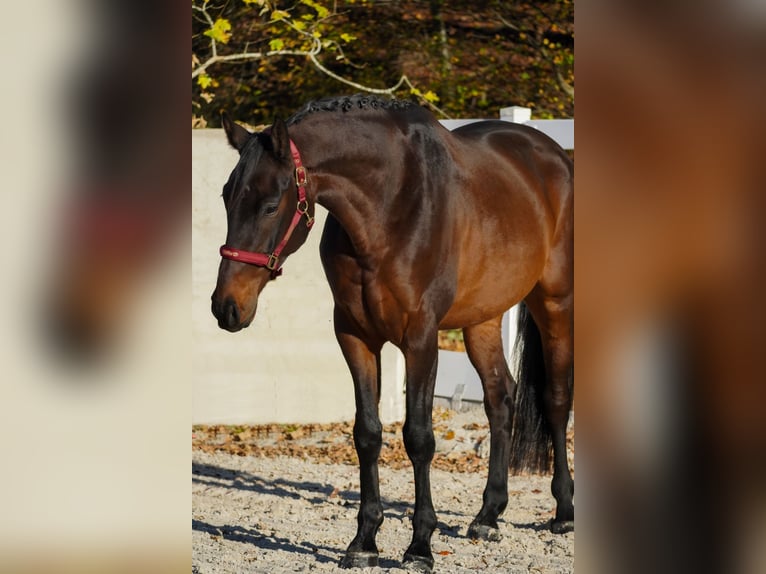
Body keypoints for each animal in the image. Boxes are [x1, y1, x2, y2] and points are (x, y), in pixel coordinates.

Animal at [213, 94, 572, 572]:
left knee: (555, 399)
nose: (226, 307)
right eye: (226, 197)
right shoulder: (354, 335)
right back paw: (488, 515)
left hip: (555, 303)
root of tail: (555, 155)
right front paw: (364, 540)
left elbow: (419, 438)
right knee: (501, 398)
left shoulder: (420, 338)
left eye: (271, 204)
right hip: (482, 318)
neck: (390, 209)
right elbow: (367, 434)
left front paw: (420, 545)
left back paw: (564, 511)